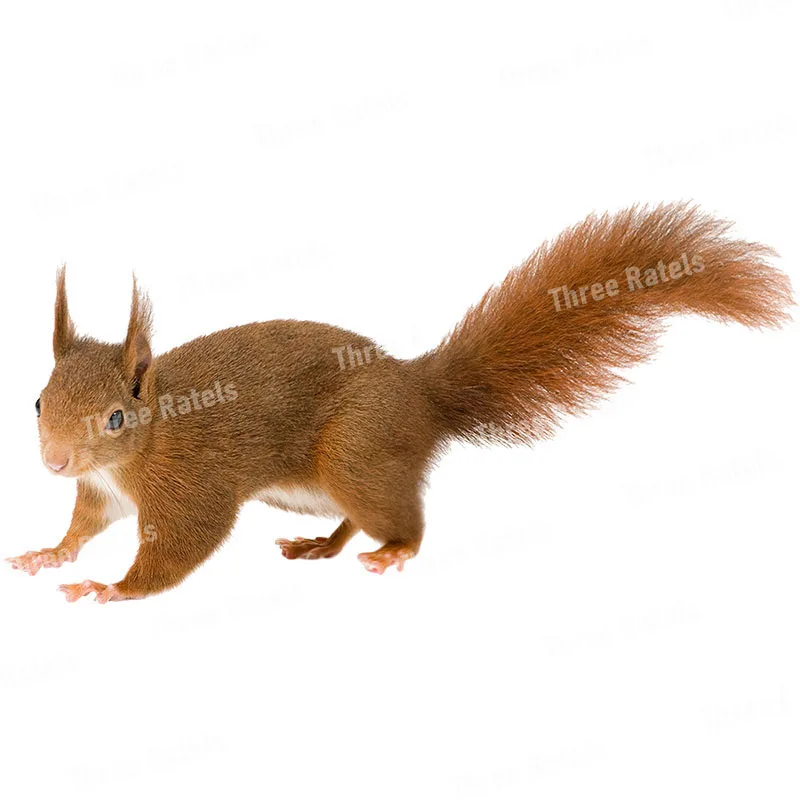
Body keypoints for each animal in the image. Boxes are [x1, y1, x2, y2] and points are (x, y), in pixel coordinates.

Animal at [7, 203, 793, 603]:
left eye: (116, 417)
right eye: (38, 402)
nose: (54, 461)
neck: (137, 449)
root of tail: (422, 394)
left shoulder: (189, 484)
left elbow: (179, 547)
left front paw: (110, 588)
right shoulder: (100, 491)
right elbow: (84, 523)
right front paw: (51, 552)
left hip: (354, 452)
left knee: (401, 519)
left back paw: (392, 553)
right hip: (317, 487)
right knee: (354, 518)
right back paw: (322, 545)